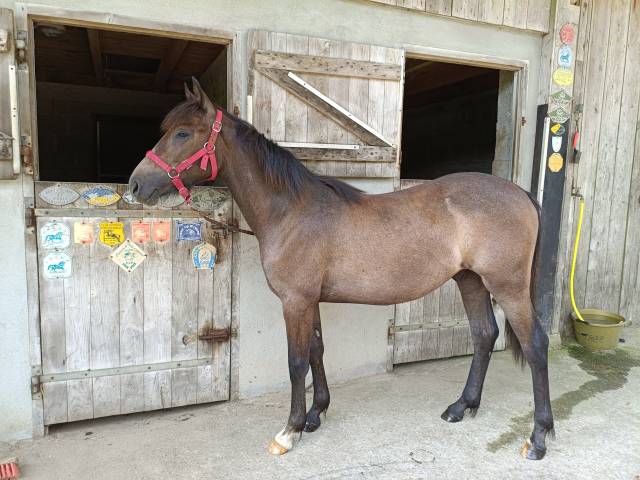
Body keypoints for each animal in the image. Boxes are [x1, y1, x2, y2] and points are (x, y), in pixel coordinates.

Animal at [128, 78, 554, 460]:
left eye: (183, 132)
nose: (134, 185)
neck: (292, 211)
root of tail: (519, 193)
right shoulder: (310, 300)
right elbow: (317, 350)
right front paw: (316, 414)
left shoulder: (295, 301)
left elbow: (296, 362)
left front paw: (290, 431)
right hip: (470, 280)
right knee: (484, 335)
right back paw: (461, 407)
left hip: (509, 286)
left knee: (535, 344)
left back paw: (538, 438)